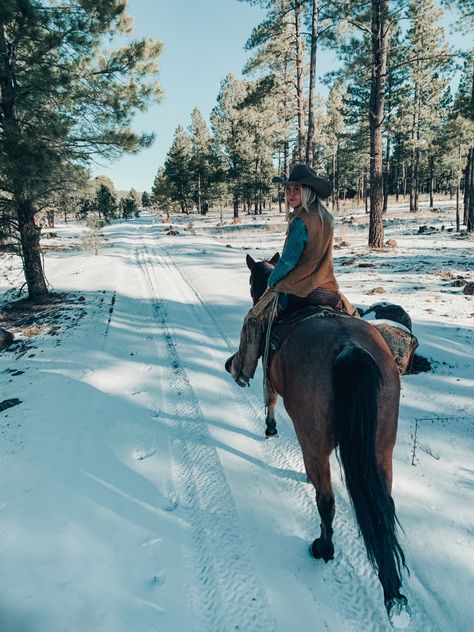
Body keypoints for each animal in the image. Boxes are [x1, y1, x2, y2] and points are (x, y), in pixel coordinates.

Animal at [246, 256, 410, 628]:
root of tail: (350, 349)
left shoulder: (269, 377)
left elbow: (269, 402)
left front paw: (270, 429)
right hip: (381, 448)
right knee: (384, 506)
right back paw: (392, 592)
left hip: (317, 442)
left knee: (327, 500)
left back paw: (323, 547)